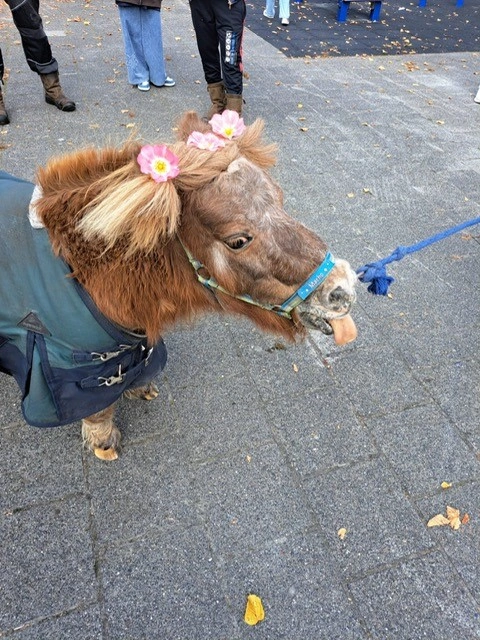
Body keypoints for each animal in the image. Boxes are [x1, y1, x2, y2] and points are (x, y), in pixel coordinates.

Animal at [10, 111, 356, 460]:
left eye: (281, 200)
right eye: (237, 241)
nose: (342, 289)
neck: (85, 273)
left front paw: (139, 390)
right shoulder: (74, 370)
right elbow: (98, 410)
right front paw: (103, 442)